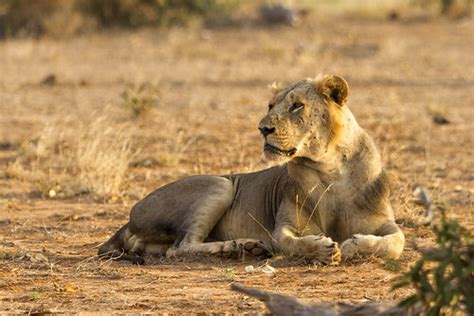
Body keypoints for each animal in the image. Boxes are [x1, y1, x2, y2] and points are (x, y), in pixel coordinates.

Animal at [98, 74, 406, 264]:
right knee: (179, 248)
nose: (263, 128)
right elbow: (288, 243)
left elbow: (397, 241)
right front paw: (323, 248)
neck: (331, 170)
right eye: (270, 106)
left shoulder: (384, 222)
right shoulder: (284, 226)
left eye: (297, 106)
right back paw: (238, 247)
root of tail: (127, 220)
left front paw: (353, 245)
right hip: (220, 184)